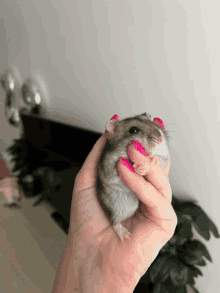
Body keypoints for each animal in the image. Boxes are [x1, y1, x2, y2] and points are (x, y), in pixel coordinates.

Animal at [96, 110, 170, 241]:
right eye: (133, 130)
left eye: (153, 123)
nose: (161, 139)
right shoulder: (109, 166)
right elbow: (121, 164)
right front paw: (136, 166)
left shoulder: (165, 158)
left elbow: (161, 160)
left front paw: (151, 161)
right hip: (117, 207)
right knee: (115, 222)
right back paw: (125, 236)